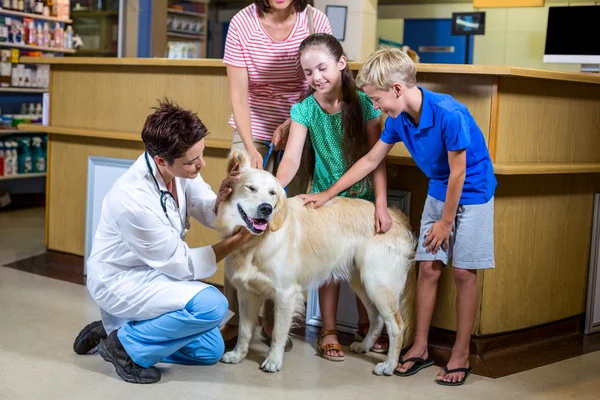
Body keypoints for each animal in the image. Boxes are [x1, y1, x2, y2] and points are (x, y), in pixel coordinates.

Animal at [216, 149, 418, 376]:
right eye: (250, 188)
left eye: (272, 193)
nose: (267, 209)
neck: (256, 242)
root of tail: (394, 216)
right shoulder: (247, 293)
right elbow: (244, 330)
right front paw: (238, 355)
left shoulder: (285, 294)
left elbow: (277, 333)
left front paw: (273, 361)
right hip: (363, 283)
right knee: (377, 319)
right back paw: (364, 346)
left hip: (378, 284)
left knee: (396, 326)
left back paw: (389, 365)